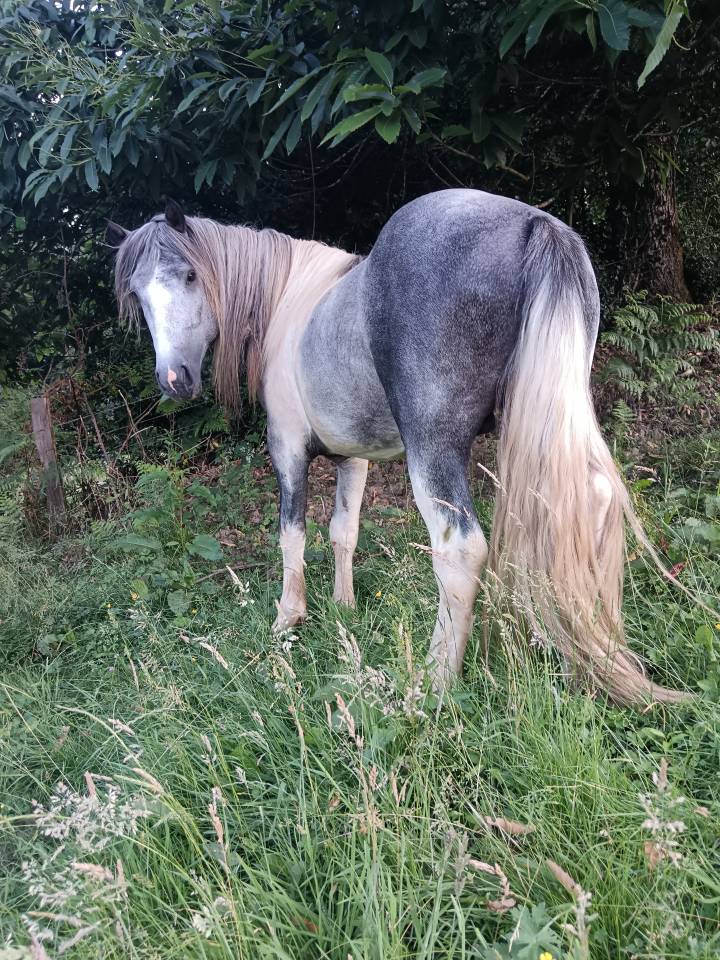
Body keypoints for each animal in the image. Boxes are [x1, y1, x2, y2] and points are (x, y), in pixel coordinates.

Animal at [106, 189, 688, 705]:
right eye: (137, 293)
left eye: (189, 275)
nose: (175, 379)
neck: (291, 302)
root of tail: (531, 223)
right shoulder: (354, 458)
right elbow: (343, 532)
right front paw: (343, 607)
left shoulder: (287, 449)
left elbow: (292, 534)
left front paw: (288, 619)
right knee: (587, 506)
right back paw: (580, 659)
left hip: (433, 450)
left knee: (460, 549)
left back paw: (433, 684)